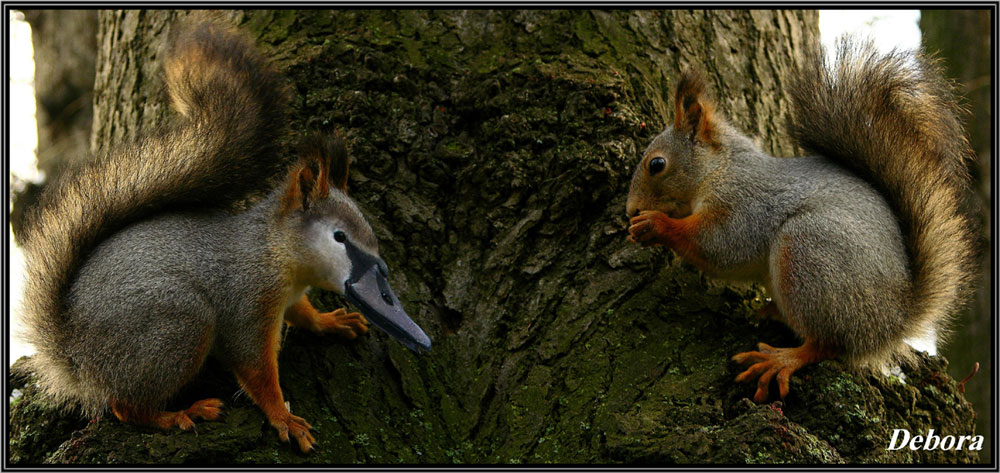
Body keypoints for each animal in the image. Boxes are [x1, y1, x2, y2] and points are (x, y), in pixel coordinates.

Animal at [16, 19, 430, 454]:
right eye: (340, 237)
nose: (386, 299)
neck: (276, 253)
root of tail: (73, 355)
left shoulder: (290, 294)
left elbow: (301, 313)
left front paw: (330, 320)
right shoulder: (247, 300)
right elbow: (255, 368)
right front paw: (284, 418)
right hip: (178, 325)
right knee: (124, 405)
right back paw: (180, 414)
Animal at [624, 36, 976, 402]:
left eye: (656, 164)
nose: (630, 209)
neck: (720, 168)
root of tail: (893, 321)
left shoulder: (744, 203)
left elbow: (720, 245)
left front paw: (655, 225)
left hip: (810, 251)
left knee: (827, 343)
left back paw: (781, 360)